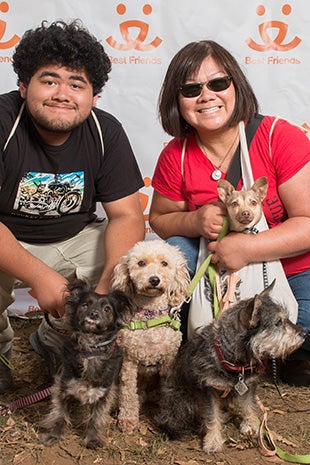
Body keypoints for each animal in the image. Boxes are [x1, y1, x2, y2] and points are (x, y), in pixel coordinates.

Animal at [38, 278, 132, 448]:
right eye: (85, 305)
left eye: (107, 309)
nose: (94, 314)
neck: (91, 349)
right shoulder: (62, 387)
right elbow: (59, 414)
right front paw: (54, 436)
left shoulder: (104, 394)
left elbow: (96, 417)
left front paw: (93, 439)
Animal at [111, 239, 189, 432]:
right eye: (141, 263)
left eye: (164, 263)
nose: (154, 279)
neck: (151, 317)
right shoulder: (129, 362)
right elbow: (128, 392)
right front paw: (128, 418)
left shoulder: (169, 360)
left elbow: (169, 387)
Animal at [156, 280, 306, 454]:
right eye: (277, 322)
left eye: (285, 319)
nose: (304, 334)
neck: (234, 360)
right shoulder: (209, 389)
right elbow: (211, 415)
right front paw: (213, 440)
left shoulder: (249, 385)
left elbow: (248, 405)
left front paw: (251, 425)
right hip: (182, 399)